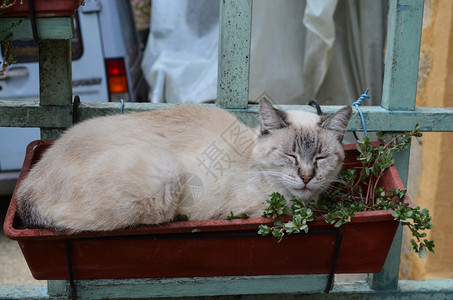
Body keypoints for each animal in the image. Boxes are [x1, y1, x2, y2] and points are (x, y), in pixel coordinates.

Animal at [15, 98, 352, 232]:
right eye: (290, 156)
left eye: (320, 158)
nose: (306, 177)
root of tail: (26, 187)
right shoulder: (242, 209)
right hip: (164, 177)